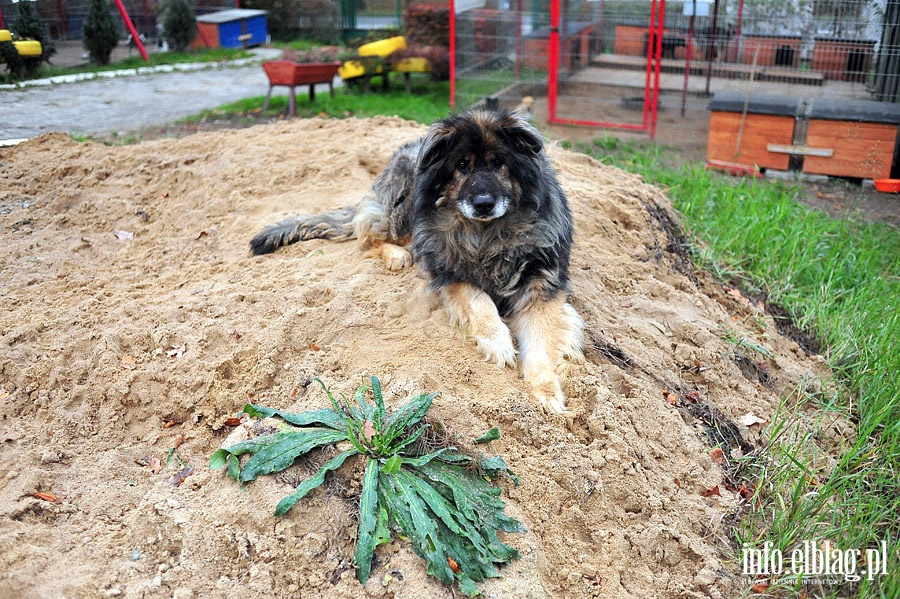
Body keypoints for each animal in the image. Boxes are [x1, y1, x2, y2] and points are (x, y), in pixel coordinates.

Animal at [251, 109, 584, 412]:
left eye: (500, 163)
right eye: (461, 165)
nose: (483, 204)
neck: (486, 233)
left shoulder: (541, 285)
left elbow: (540, 341)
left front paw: (546, 390)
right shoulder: (449, 271)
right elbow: (479, 302)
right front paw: (498, 343)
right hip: (402, 204)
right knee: (369, 235)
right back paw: (397, 254)